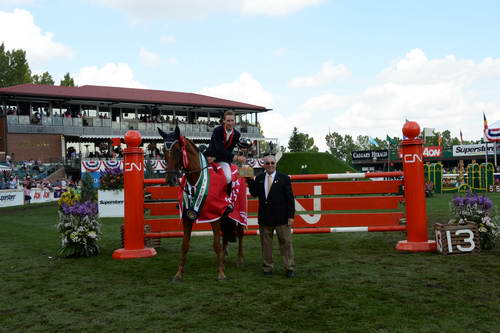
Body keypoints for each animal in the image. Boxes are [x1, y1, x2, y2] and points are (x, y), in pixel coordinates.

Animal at [159, 125, 247, 280]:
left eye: (177, 150)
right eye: (163, 150)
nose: (170, 180)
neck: (196, 179)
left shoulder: (214, 216)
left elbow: (216, 244)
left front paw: (221, 273)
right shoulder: (187, 217)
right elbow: (185, 245)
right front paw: (179, 274)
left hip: (239, 213)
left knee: (240, 233)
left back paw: (239, 259)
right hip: (224, 217)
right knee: (225, 235)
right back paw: (224, 258)